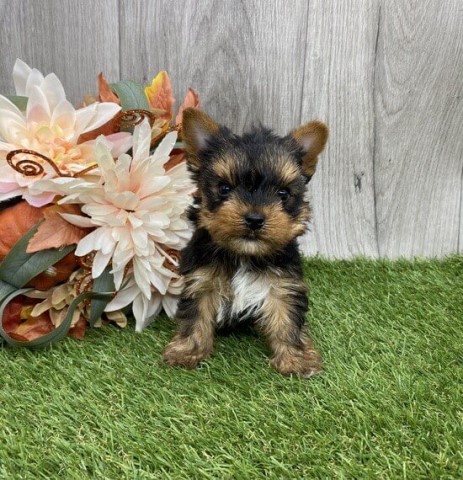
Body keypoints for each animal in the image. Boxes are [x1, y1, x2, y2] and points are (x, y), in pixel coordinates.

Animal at [163, 107, 330, 376]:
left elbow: (287, 319)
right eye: (224, 188)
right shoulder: (201, 280)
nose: (254, 218)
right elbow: (195, 315)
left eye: (283, 193)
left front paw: (296, 358)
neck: (244, 254)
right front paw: (187, 351)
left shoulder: (283, 283)